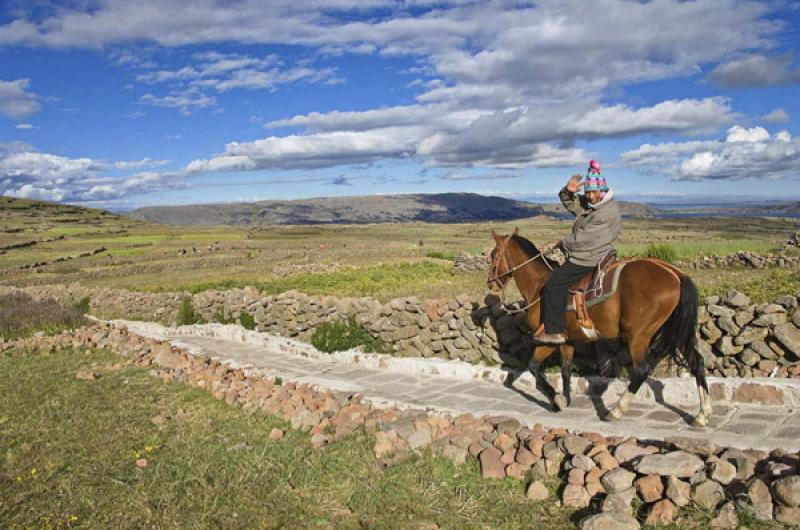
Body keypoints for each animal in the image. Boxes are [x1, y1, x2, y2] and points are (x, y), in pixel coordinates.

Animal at [488, 228, 712, 424]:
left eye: (493, 255)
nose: (490, 282)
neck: (539, 285)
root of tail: (675, 274)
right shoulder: (567, 340)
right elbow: (566, 369)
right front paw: (566, 399)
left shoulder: (548, 339)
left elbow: (534, 368)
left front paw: (557, 399)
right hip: (676, 332)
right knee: (697, 362)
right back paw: (702, 415)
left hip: (638, 335)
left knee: (641, 369)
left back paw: (616, 411)